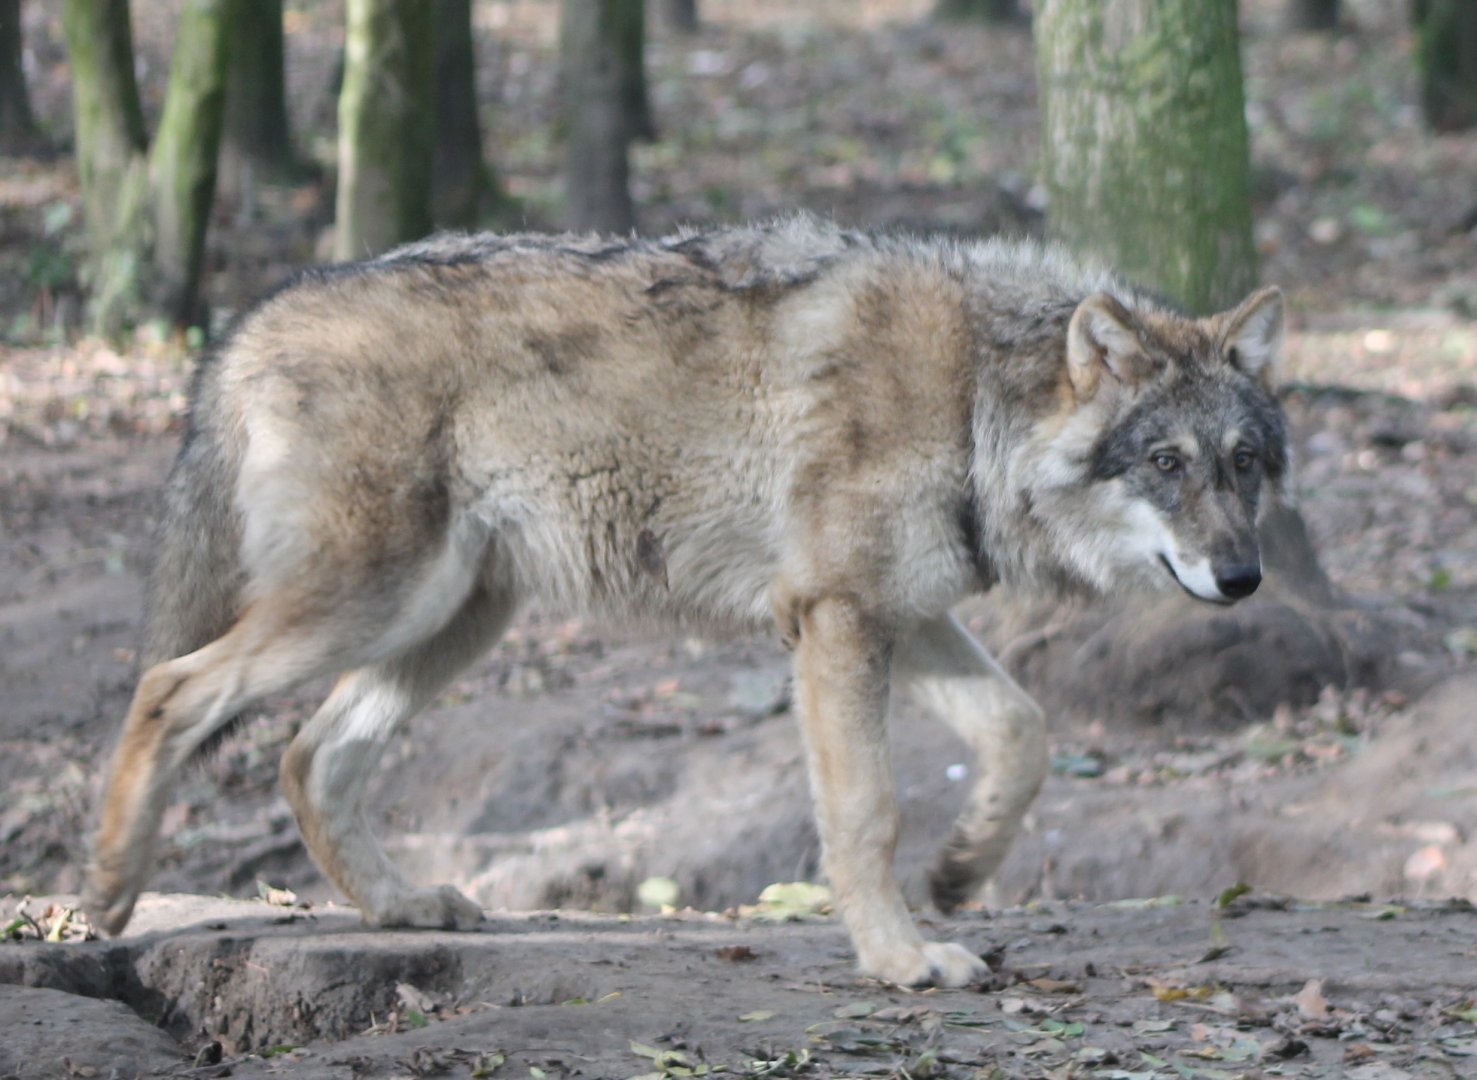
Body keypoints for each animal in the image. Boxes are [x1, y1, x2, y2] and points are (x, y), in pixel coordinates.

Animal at [83, 216, 1288, 987]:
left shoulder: (899, 614)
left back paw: (401, 907)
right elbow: (866, 812)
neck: (971, 396)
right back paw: (106, 896)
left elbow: (1021, 731)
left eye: (1242, 463)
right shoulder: (837, 619)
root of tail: (251, 318)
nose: (1244, 580)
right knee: (169, 687)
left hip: (451, 619)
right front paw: (901, 960)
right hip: (375, 602)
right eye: (1166, 464)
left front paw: (960, 870)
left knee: (308, 757)